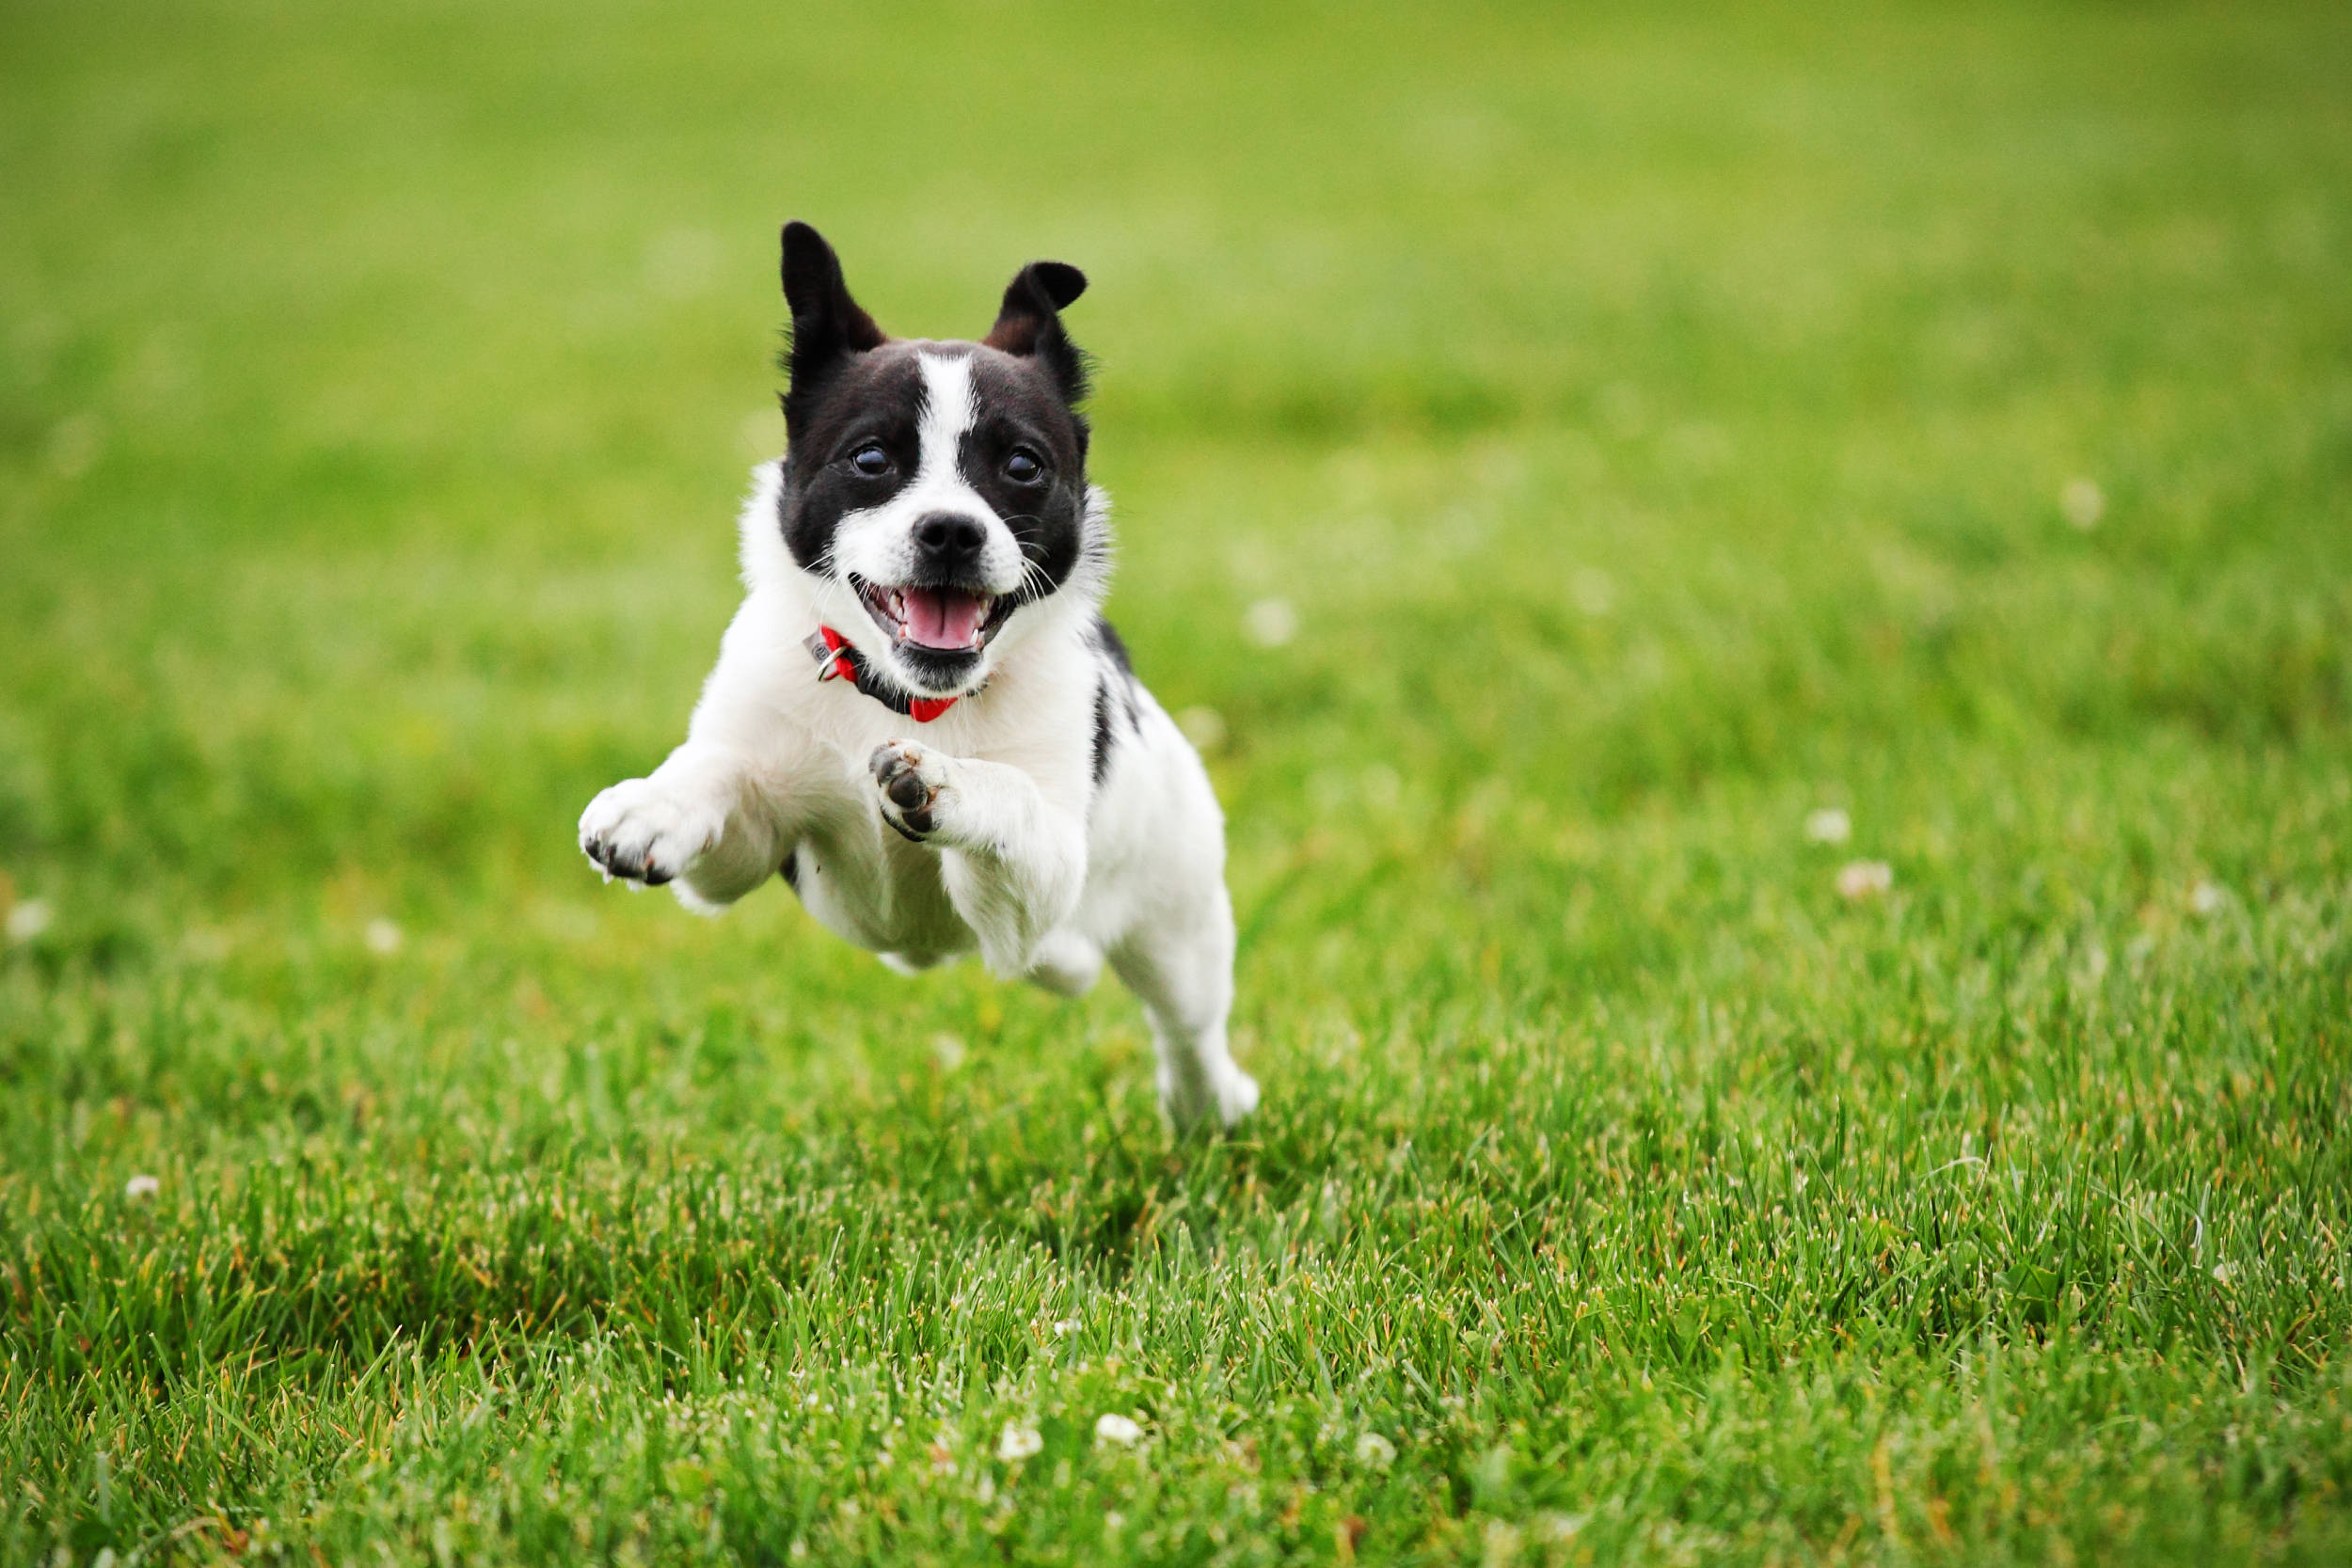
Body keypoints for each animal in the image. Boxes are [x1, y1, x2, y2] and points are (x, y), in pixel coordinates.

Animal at [576, 220, 1261, 1128]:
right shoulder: (741, 861)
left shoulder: (1041, 873)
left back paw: (1207, 1102)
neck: (906, 698)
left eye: (1021, 466)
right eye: (871, 459)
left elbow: (1009, 796)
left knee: (1184, 1023)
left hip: (1176, 919)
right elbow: (719, 772)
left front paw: (942, 782)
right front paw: (651, 804)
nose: (950, 531)